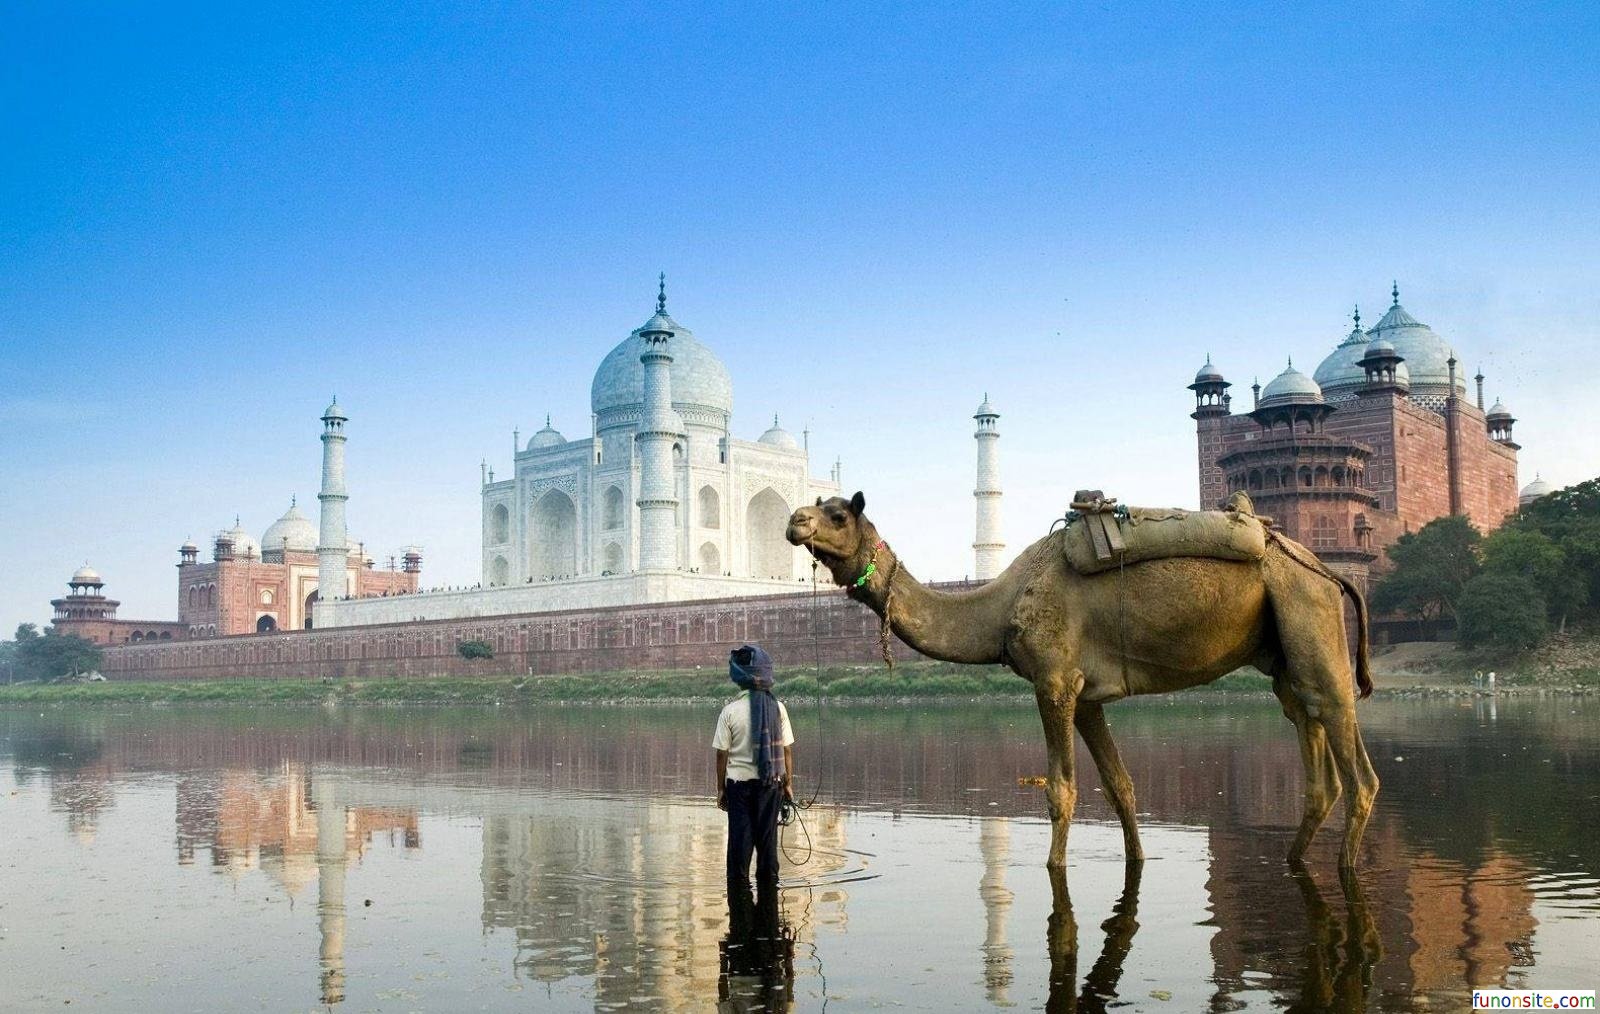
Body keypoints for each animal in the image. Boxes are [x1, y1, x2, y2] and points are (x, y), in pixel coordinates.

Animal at [784, 492, 1376, 863]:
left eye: (837, 514)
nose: (794, 521)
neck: (1002, 606)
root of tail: (1328, 570)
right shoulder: (1087, 697)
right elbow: (1120, 787)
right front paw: (1138, 858)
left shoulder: (1054, 681)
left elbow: (1062, 791)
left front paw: (1054, 867)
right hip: (1283, 652)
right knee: (1312, 748)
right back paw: (1293, 860)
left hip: (1308, 610)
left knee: (1355, 762)